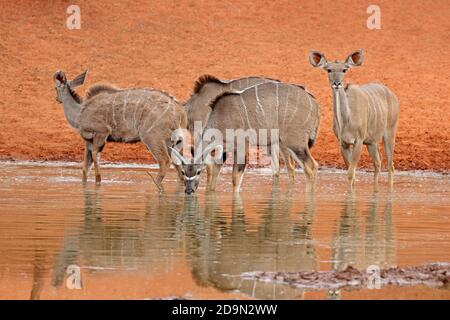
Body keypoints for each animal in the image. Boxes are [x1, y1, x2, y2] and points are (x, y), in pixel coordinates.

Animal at [52, 69, 186, 188]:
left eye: (55, 87)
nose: (57, 99)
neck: (79, 112)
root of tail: (179, 110)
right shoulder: (89, 141)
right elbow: (85, 167)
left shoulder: (102, 133)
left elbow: (95, 156)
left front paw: (98, 180)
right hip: (172, 141)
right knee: (179, 165)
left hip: (152, 138)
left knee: (165, 161)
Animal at [171, 81, 322, 194]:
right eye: (184, 172)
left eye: (198, 172)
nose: (188, 191)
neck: (220, 117)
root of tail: (315, 104)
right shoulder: (225, 149)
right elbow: (215, 171)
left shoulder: (242, 146)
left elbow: (235, 178)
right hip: (282, 143)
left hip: (295, 143)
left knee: (311, 166)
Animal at [310, 49, 400, 185]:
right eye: (329, 70)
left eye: (344, 70)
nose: (337, 83)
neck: (346, 120)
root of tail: (392, 95)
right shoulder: (343, 143)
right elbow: (351, 174)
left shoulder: (358, 141)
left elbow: (351, 173)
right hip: (371, 142)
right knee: (378, 162)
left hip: (389, 133)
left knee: (390, 165)